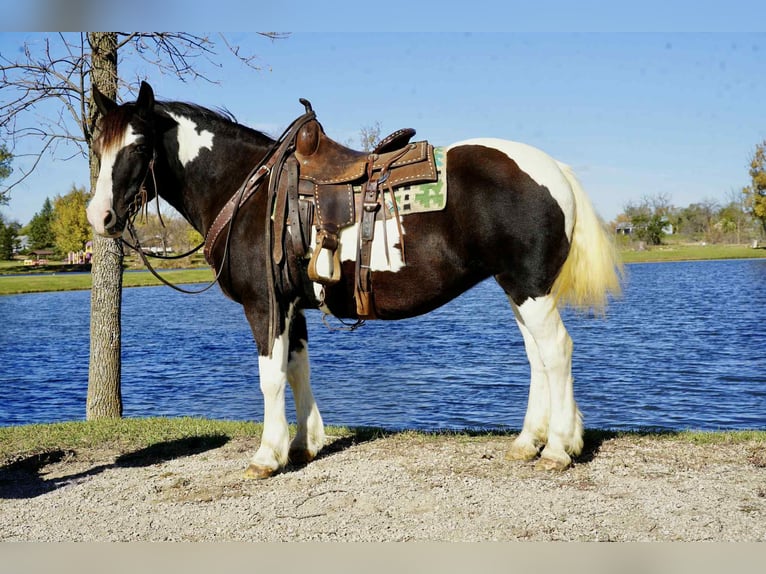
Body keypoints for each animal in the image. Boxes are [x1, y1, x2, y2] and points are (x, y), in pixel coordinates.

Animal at [86, 81, 621, 478]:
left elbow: (270, 377)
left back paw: (559, 448)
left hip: (529, 288)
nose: (100, 216)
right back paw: (530, 442)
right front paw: (303, 444)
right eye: (98, 145)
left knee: (556, 352)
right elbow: (297, 370)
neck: (247, 190)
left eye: (138, 144)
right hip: (519, 288)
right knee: (538, 358)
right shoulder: (291, 306)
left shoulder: (265, 306)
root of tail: (554, 169)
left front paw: (267, 455)